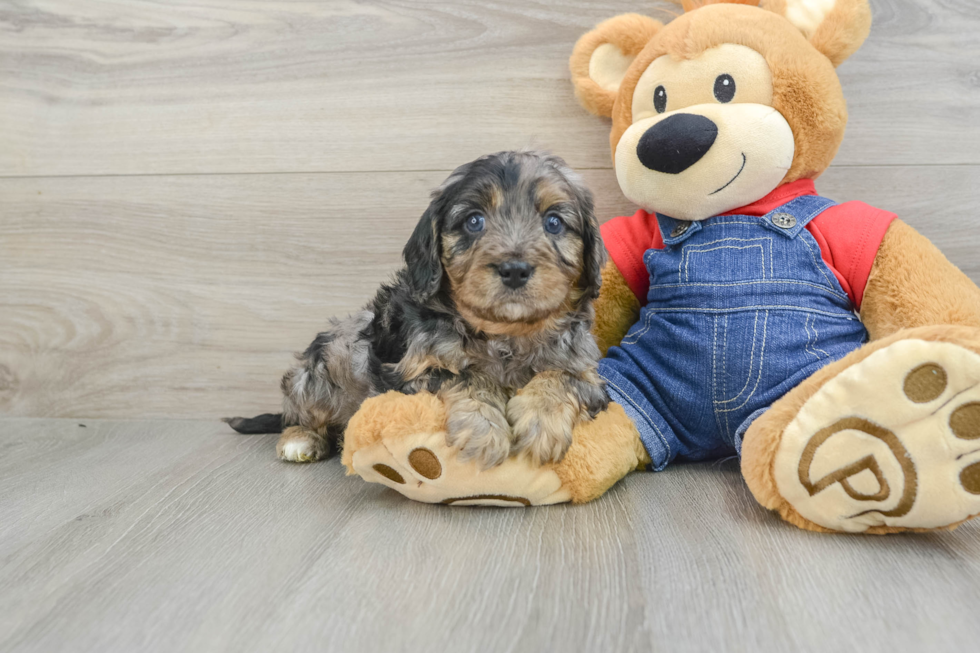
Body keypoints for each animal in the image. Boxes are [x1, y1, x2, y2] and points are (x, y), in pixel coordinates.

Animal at [231, 152, 612, 468]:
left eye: (554, 222)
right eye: (474, 221)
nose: (514, 269)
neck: (505, 332)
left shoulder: (589, 375)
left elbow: (560, 376)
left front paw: (541, 422)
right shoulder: (410, 375)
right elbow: (467, 375)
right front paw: (485, 430)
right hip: (324, 366)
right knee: (300, 414)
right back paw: (301, 440)